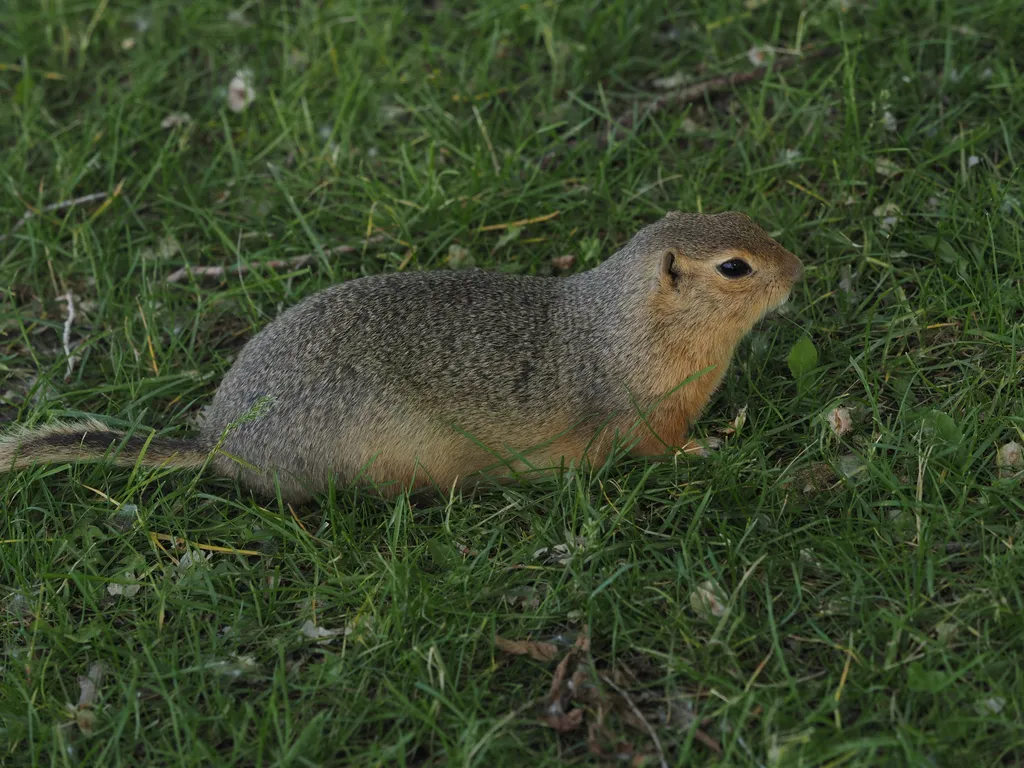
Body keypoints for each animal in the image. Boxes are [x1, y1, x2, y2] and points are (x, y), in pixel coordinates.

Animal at [1, 211, 803, 504]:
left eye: (745, 218)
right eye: (735, 267)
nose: (799, 269)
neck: (626, 322)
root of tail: (222, 443)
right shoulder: (646, 410)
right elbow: (660, 449)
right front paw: (709, 451)